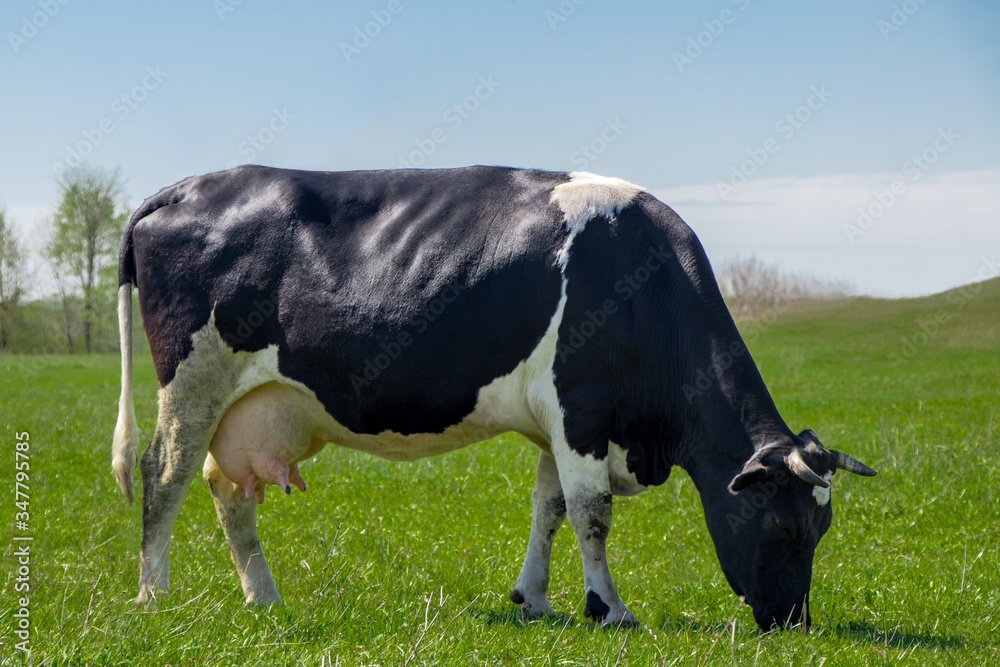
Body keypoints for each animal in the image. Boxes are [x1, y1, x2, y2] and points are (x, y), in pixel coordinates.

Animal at [111, 164, 876, 628]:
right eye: (783, 527)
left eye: (823, 529)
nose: (795, 623)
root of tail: (184, 187)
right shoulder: (582, 409)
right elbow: (593, 515)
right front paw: (609, 608)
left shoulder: (559, 425)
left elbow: (550, 508)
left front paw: (533, 598)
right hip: (193, 379)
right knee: (164, 474)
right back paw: (154, 593)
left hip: (248, 406)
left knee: (227, 492)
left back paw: (264, 597)